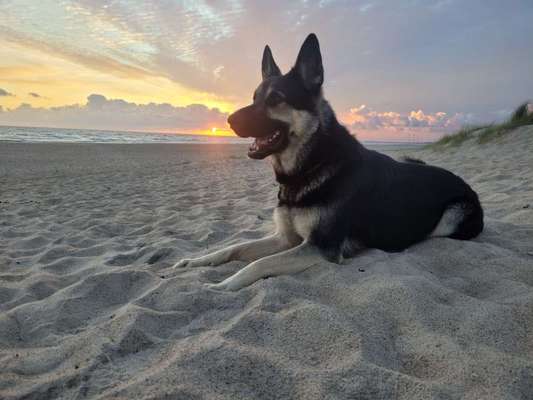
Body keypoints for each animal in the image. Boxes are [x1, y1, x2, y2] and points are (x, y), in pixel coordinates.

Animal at [174, 33, 482, 290]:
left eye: (275, 99)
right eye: (254, 97)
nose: (228, 120)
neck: (308, 167)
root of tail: (467, 185)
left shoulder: (320, 247)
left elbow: (259, 263)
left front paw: (224, 284)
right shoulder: (285, 238)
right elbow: (235, 248)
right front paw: (196, 262)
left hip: (452, 218)